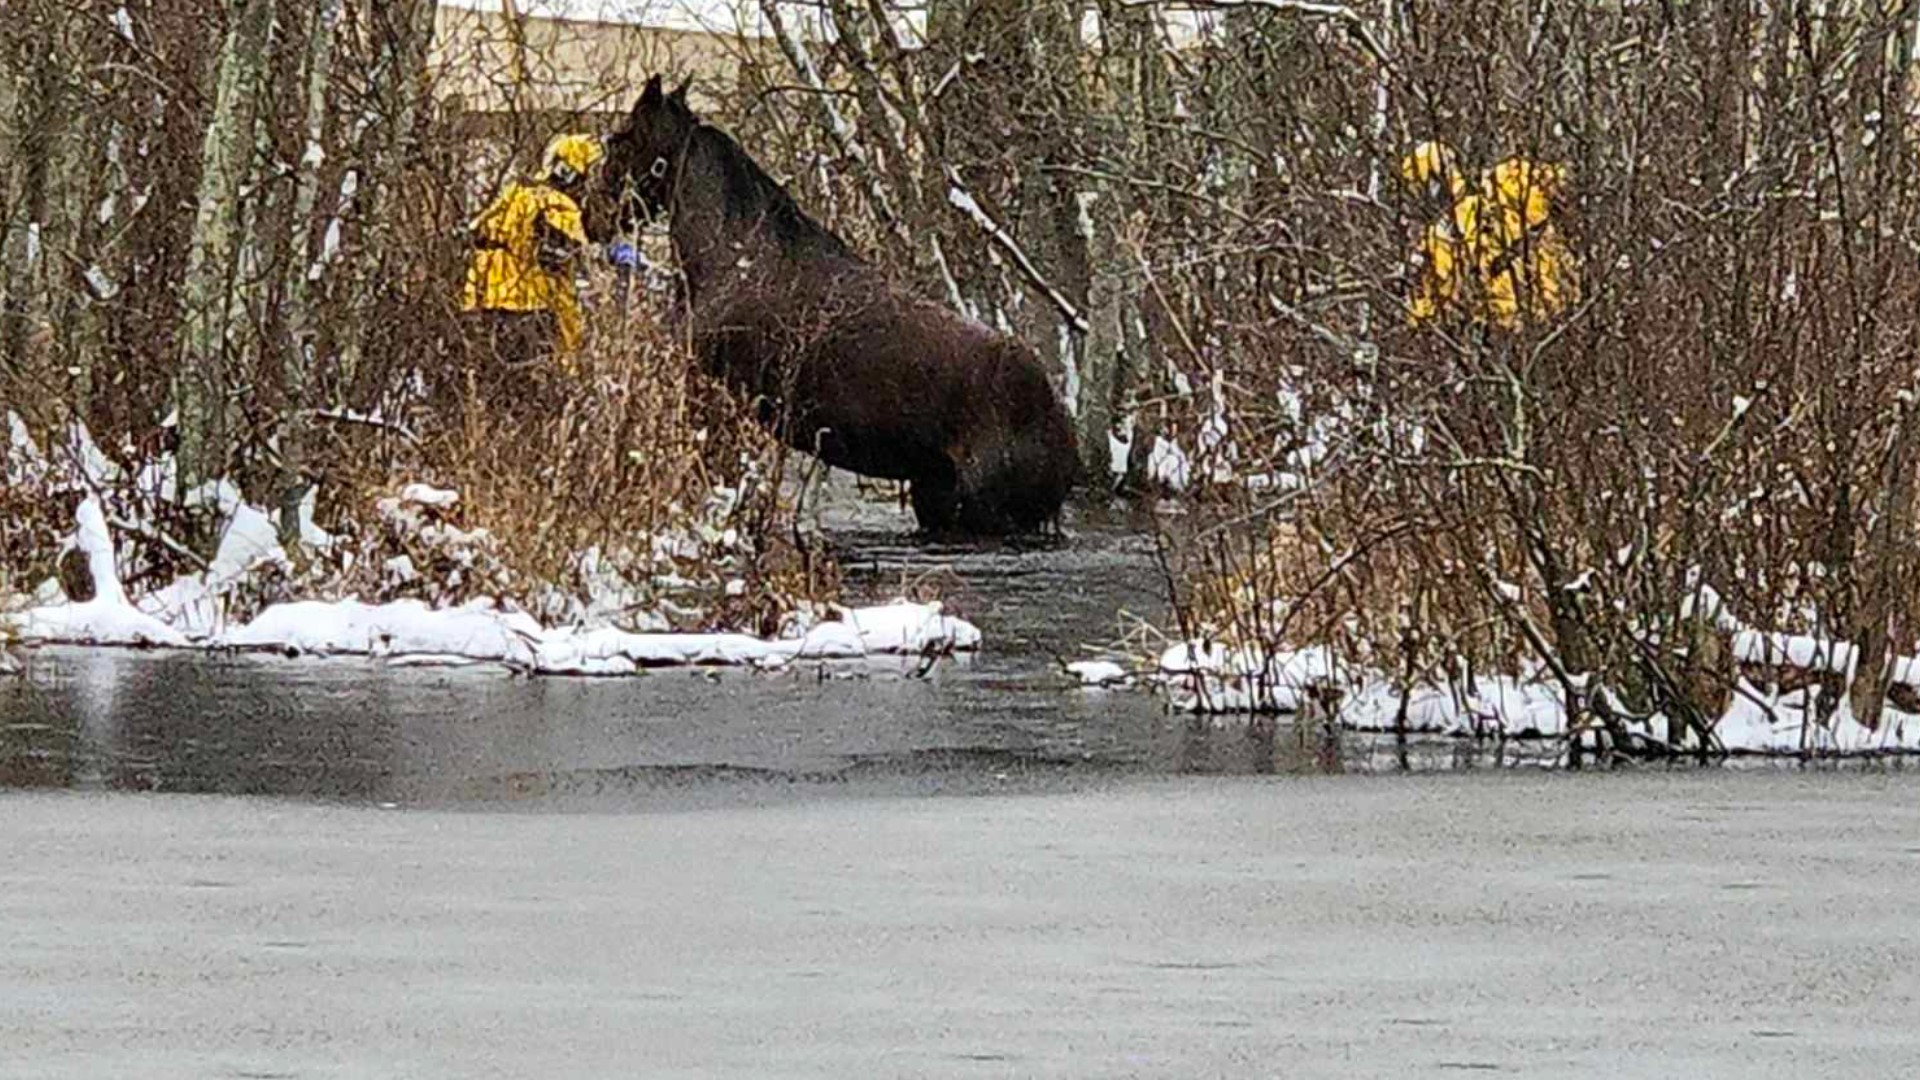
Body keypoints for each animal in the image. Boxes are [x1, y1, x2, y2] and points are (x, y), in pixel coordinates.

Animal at [598, 75, 1078, 537]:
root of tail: (1060, 420)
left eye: (621, 138)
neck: (732, 259)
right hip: (935, 498)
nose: (592, 211)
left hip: (984, 512)